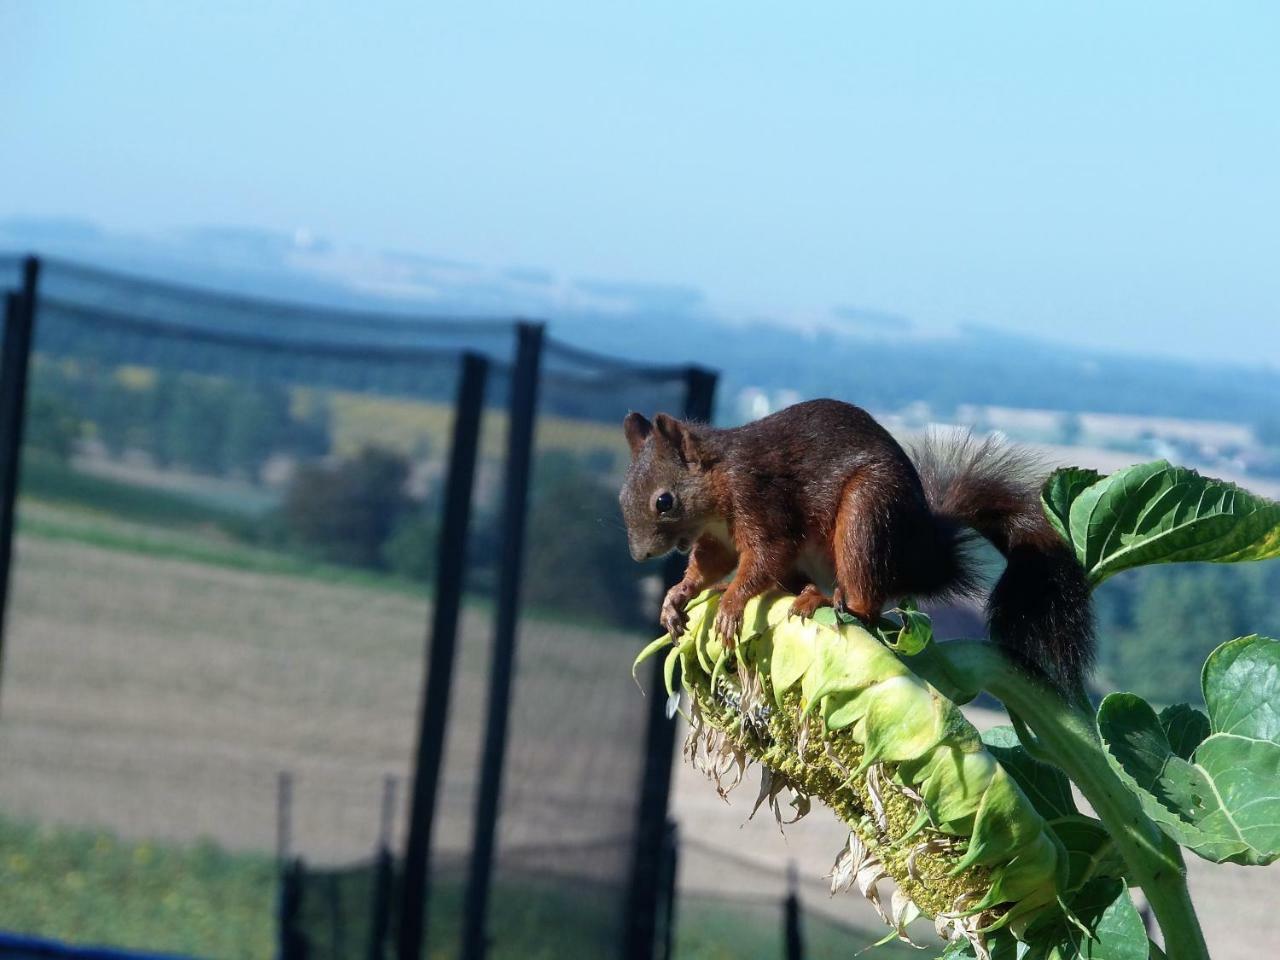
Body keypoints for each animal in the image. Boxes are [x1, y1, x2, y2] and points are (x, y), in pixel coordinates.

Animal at [616, 399, 1090, 691]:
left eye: (664, 501)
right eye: (622, 497)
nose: (640, 555)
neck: (718, 479)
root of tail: (919, 560)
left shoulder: (760, 499)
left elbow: (766, 555)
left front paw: (732, 603)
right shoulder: (716, 539)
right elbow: (710, 564)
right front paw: (678, 596)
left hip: (866, 517)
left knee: (867, 606)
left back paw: (825, 599)